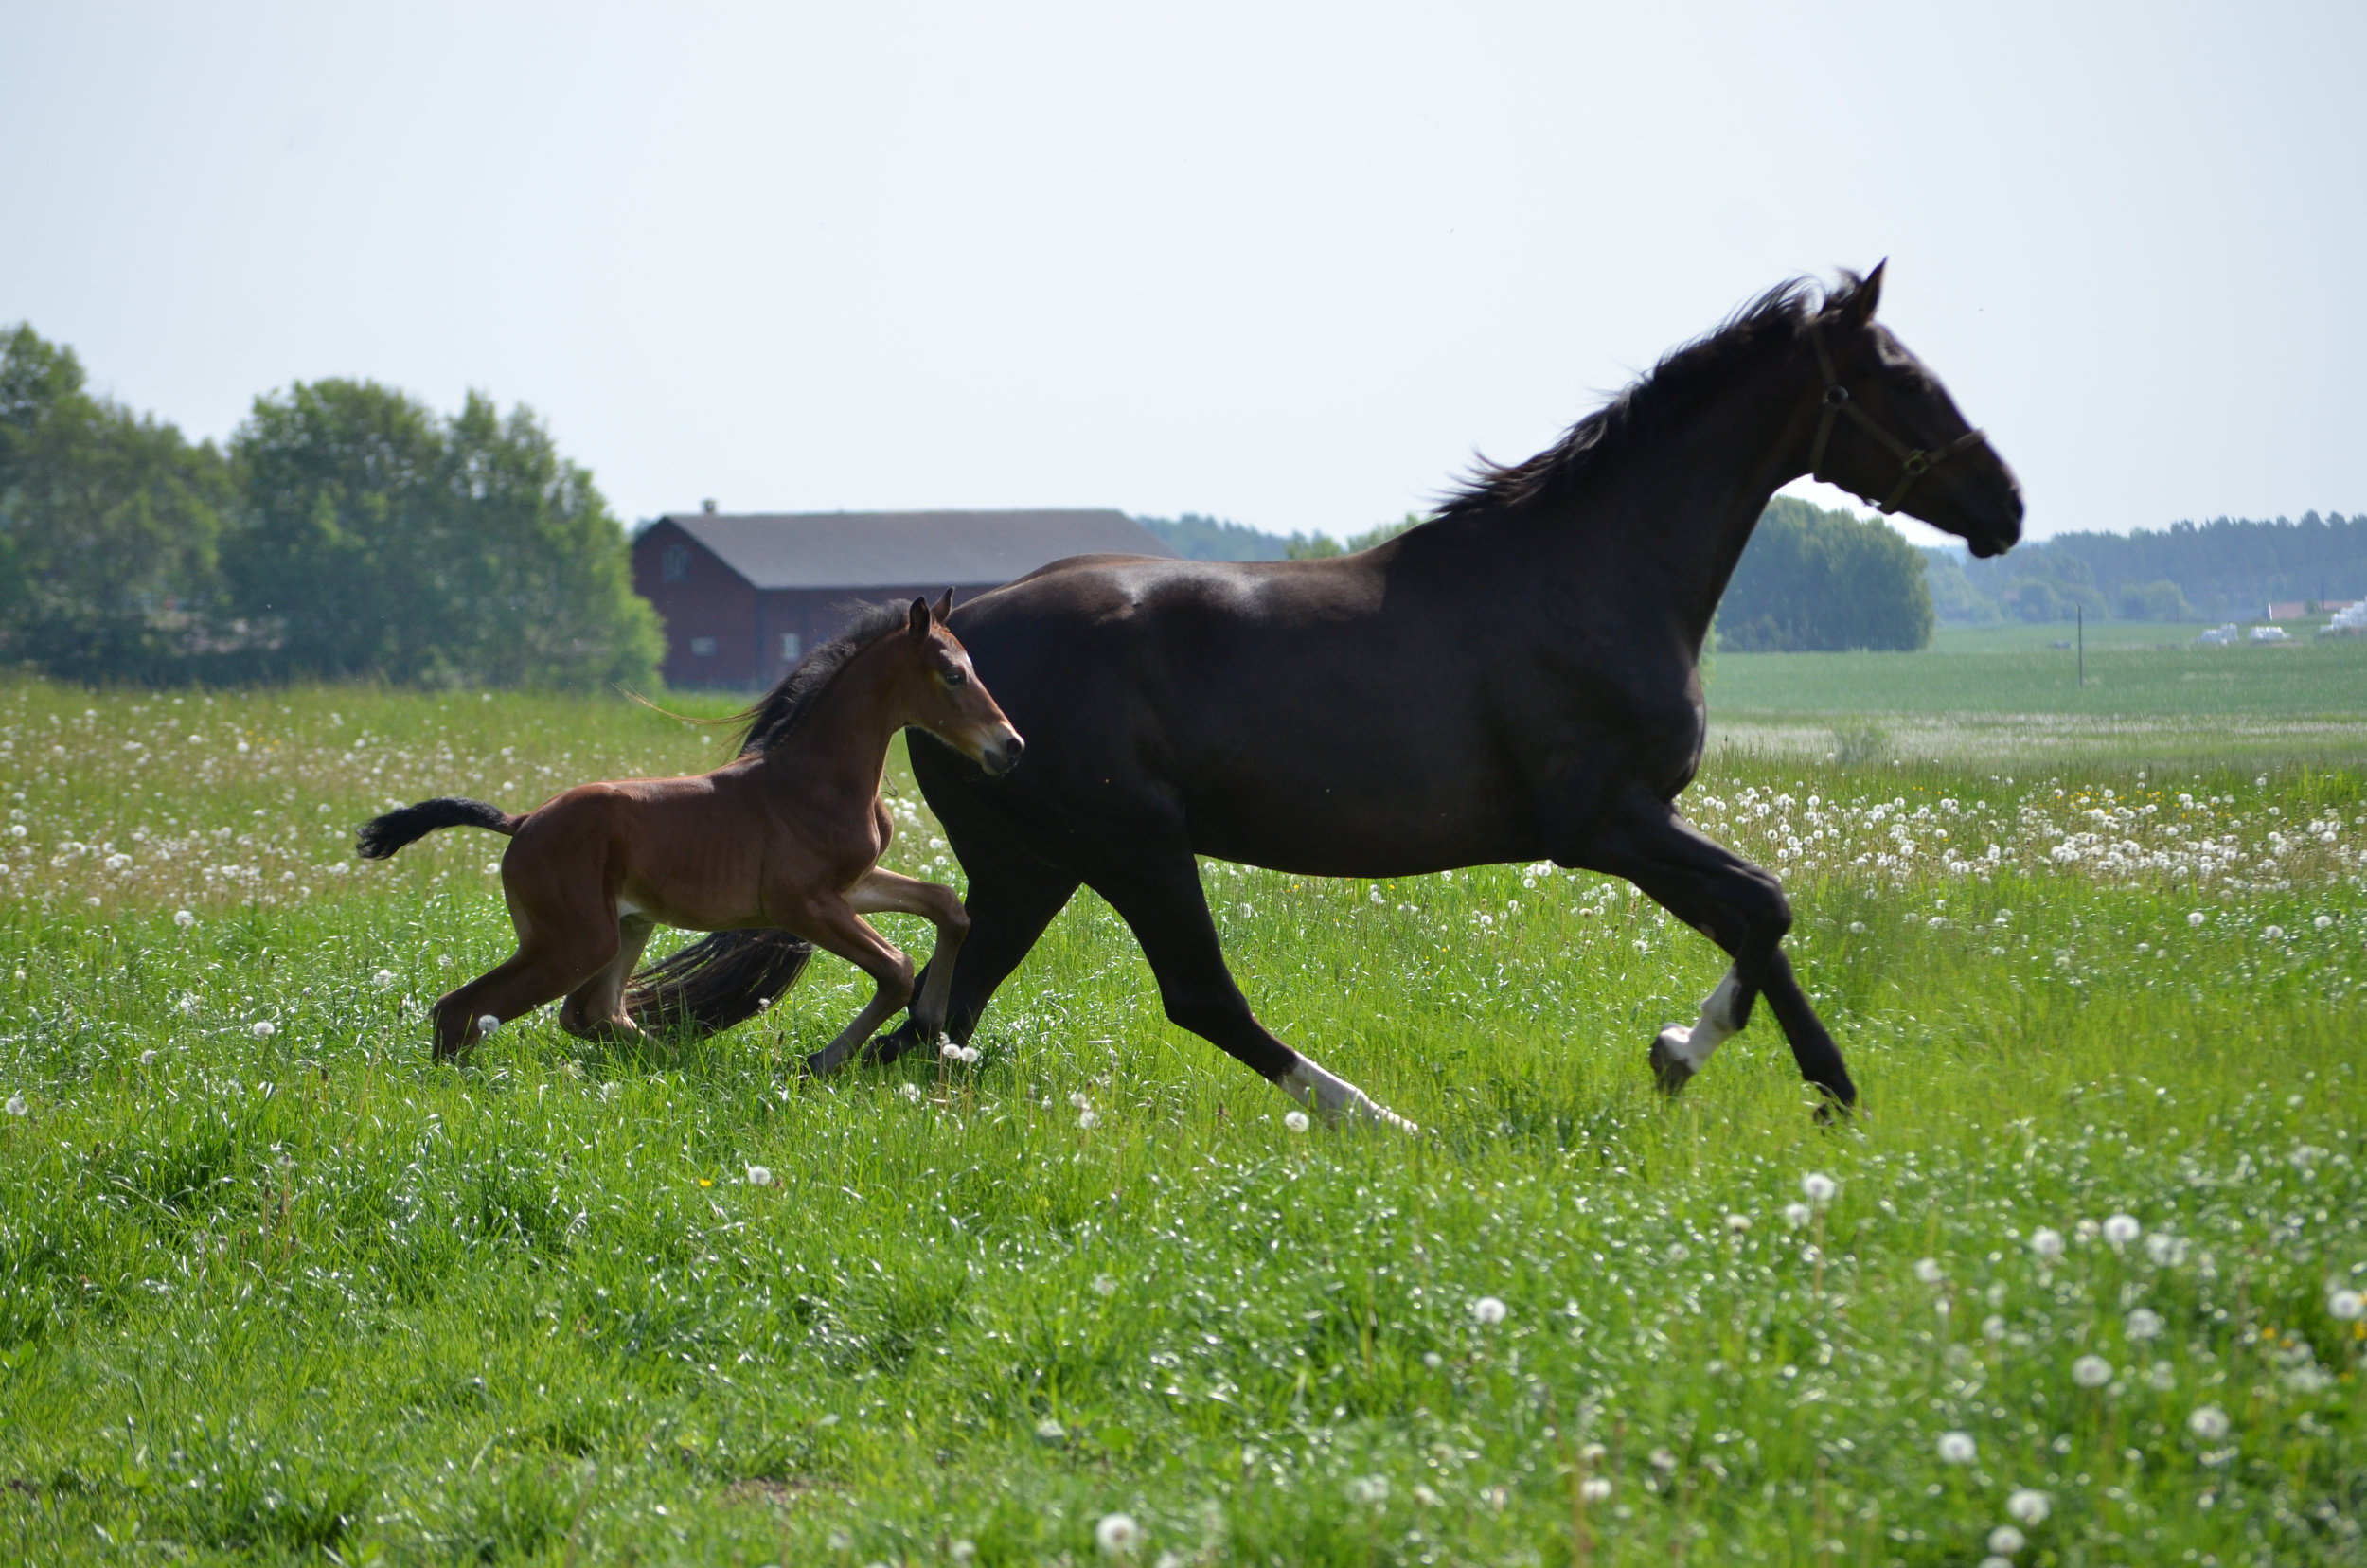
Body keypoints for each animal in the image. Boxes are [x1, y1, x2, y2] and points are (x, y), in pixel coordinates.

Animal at [355, 597, 1023, 1075]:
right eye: (953, 675)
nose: (1011, 746)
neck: (816, 778)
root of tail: (521, 823)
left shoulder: (852, 886)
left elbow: (947, 907)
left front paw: (932, 1023)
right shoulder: (801, 904)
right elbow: (896, 966)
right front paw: (824, 1059)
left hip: (626, 926)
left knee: (591, 1011)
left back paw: (678, 1067)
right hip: (571, 942)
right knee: (462, 1009)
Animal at [625, 270, 2017, 1131]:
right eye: (1900, 379)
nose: (2004, 508)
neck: (1590, 573)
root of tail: (947, 637)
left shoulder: (1630, 827)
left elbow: (1753, 920)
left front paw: (1685, 1054)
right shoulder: (1606, 823)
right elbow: (1765, 906)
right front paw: (1803, 1085)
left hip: (1034, 864)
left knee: (934, 1016)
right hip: (1130, 847)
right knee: (1192, 1000)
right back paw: (1379, 1119)